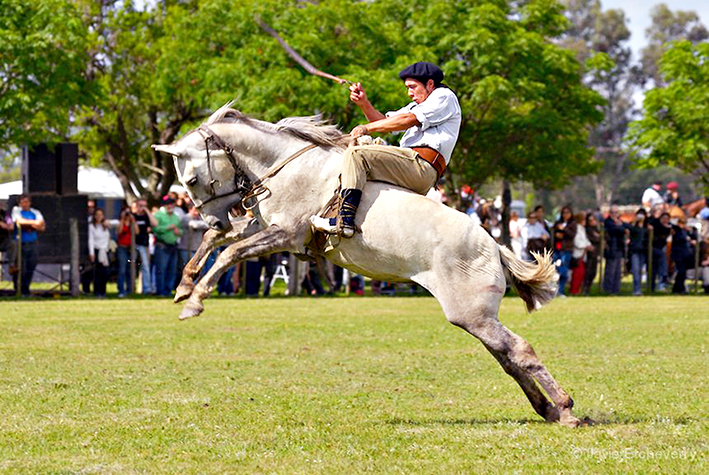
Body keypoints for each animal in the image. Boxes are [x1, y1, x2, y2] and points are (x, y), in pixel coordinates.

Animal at [152, 104, 580, 428]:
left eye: (193, 178)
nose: (214, 220)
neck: (287, 166)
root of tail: (493, 245)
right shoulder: (263, 226)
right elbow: (217, 245)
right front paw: (184, 285)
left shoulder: (285, 234)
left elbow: (229, 253)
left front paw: (195, 301)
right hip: (475, 318)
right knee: (508, 358)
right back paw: (547, 409)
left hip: (473, 314)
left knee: (519, 350)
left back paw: (566, 409)